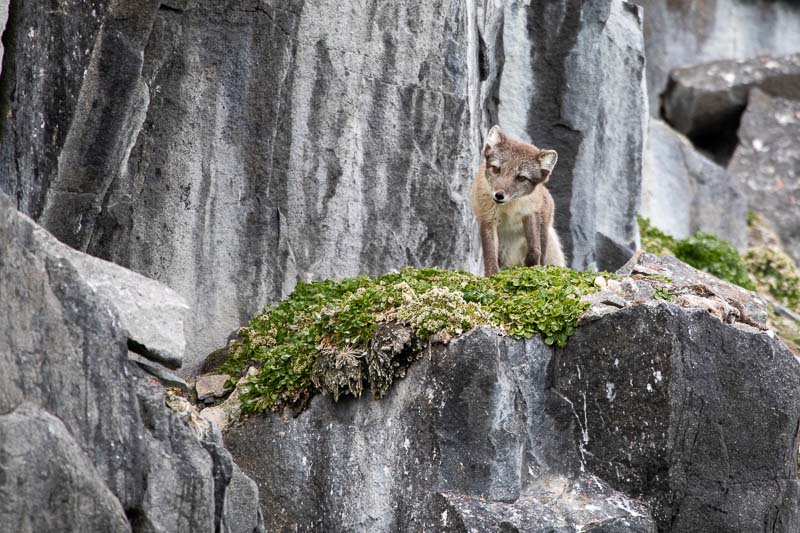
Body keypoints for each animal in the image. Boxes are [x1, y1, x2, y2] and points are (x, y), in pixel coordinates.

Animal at [472, 124, 564, 274]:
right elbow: (490, 255)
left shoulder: (530, 214)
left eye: (521, 178)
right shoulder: (488, 220)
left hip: (544, 228)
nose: (498, 195)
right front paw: (492, 275)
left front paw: (531, 265)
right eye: (496, 169)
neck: (510, 208)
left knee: (542, 251)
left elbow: (535, 249)